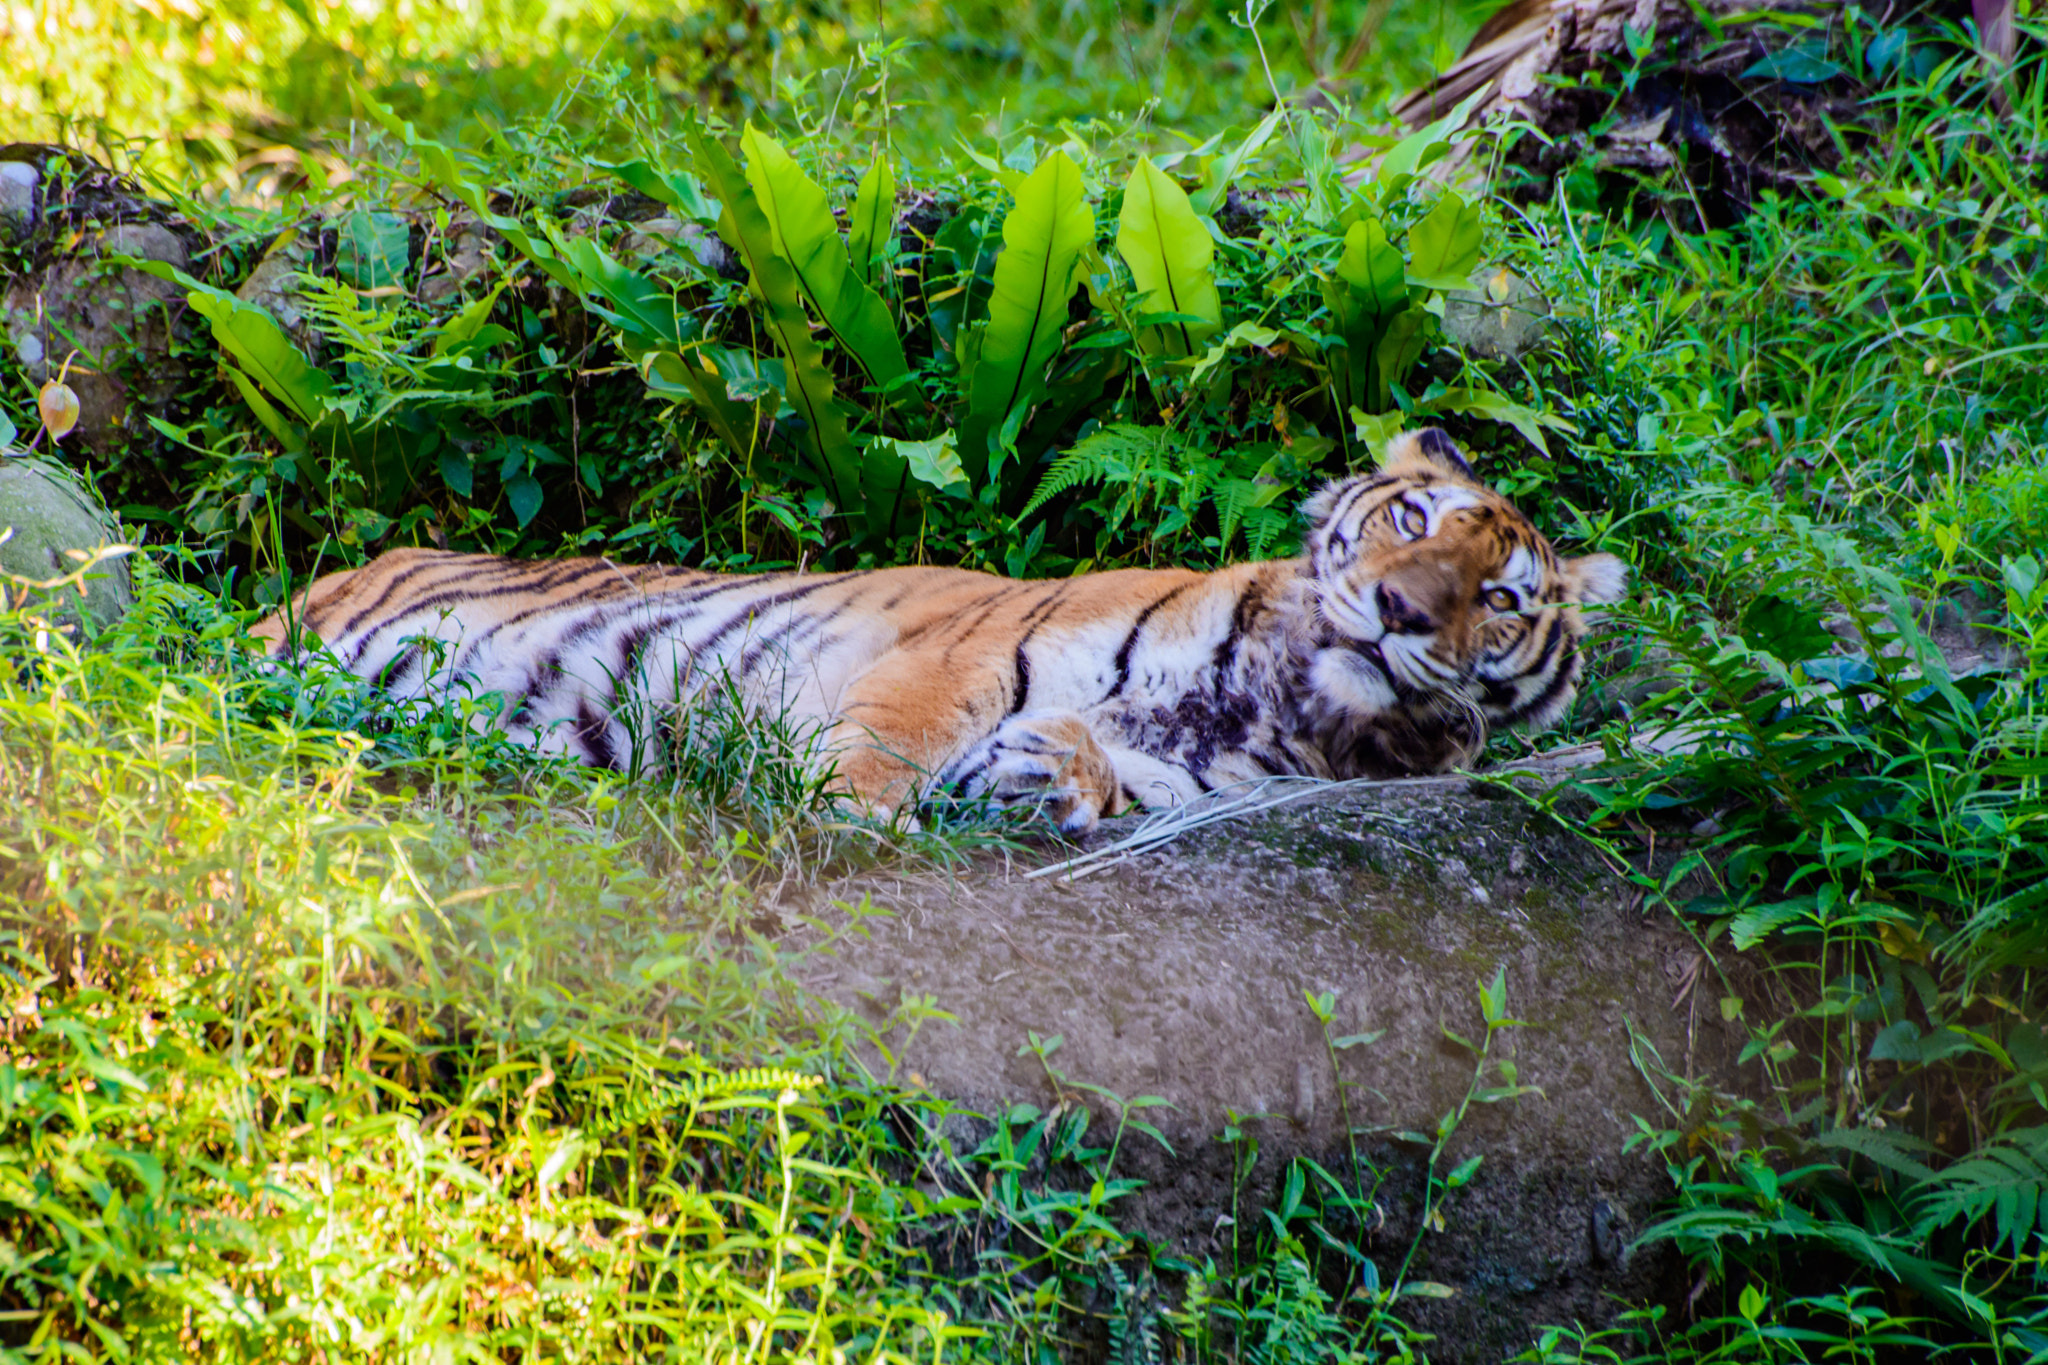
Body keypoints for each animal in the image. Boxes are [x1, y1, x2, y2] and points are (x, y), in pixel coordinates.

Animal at [251, 429, 1628, 834]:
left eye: (1500, 596)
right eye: (1409, 517)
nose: (1399, 610)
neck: (1286, 702)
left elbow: (1095, 775)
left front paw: (1045, 774)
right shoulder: (958, 652)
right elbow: (883, 755)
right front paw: (864, 816)